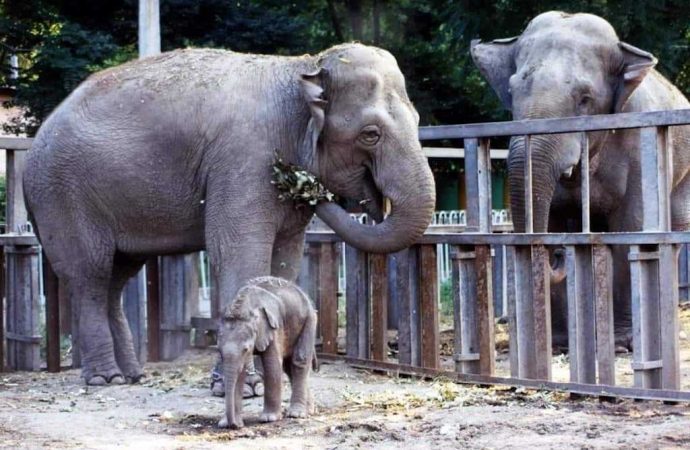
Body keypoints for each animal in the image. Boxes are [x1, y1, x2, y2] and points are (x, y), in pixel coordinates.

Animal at [25, 44, 436, 384]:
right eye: (370, 134)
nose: (304, 183)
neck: (302, 67)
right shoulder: (244, 159)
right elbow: (239, 253)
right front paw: (244, 385)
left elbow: (284, 261)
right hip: (64, 195)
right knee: (90, 274)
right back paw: (104, 379)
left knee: (117, 276)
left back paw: (132, 376)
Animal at [219, 274, 316, 428]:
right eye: (219, 351)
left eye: (246, 349)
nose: (235, 426)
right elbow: (240, 373)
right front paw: (224, 423)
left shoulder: (273, 327)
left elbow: (272, 365)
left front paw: (268, 419)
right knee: (289, 368)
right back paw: (309, 410)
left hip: (309, 320)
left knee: (299, 361)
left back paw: (297, 414)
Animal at [470, 11, 688, 348]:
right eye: (512, 91)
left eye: (585, 99)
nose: (559, 256)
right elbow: (553, 224)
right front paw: (559, 343)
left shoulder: (641, 146)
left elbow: (630, 227)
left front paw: (622, 343)